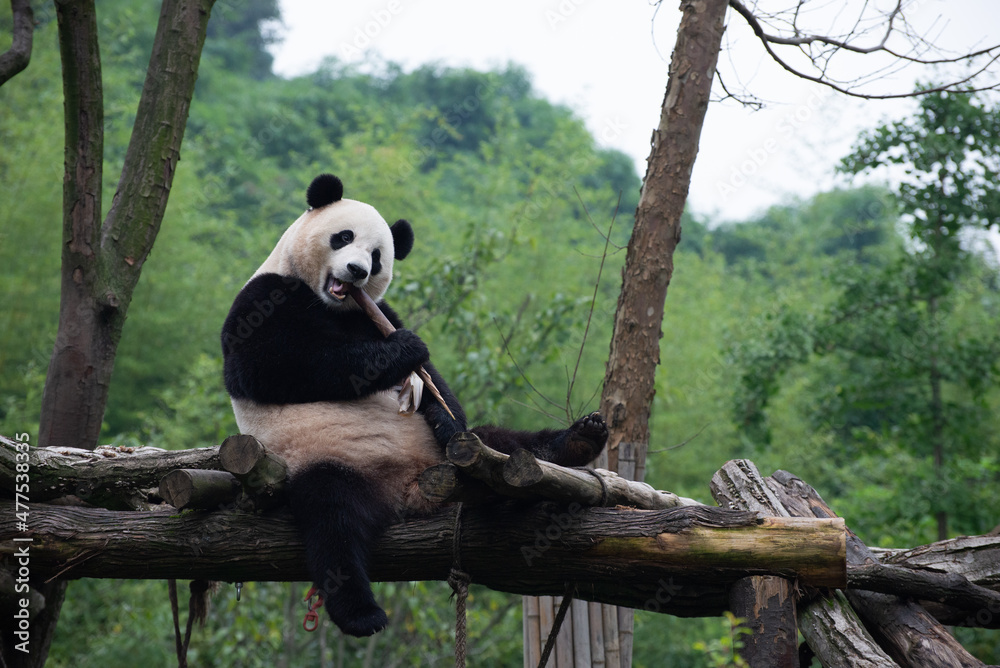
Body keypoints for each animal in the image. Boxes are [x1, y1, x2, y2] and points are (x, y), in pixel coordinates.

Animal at [221, 173, 607, 637]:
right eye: (344, 237)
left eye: (376, 257)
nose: (357, 271)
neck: (329, 304)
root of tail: (410, 492)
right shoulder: (264, 298)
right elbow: (271, 362)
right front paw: (403, 350)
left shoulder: (378, 312)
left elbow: (436, 385)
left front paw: (443, 409)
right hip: (324, 459)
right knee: (333, 522)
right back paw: (361, 614)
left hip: (455, 457)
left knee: (501, 443)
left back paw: (579, 439)